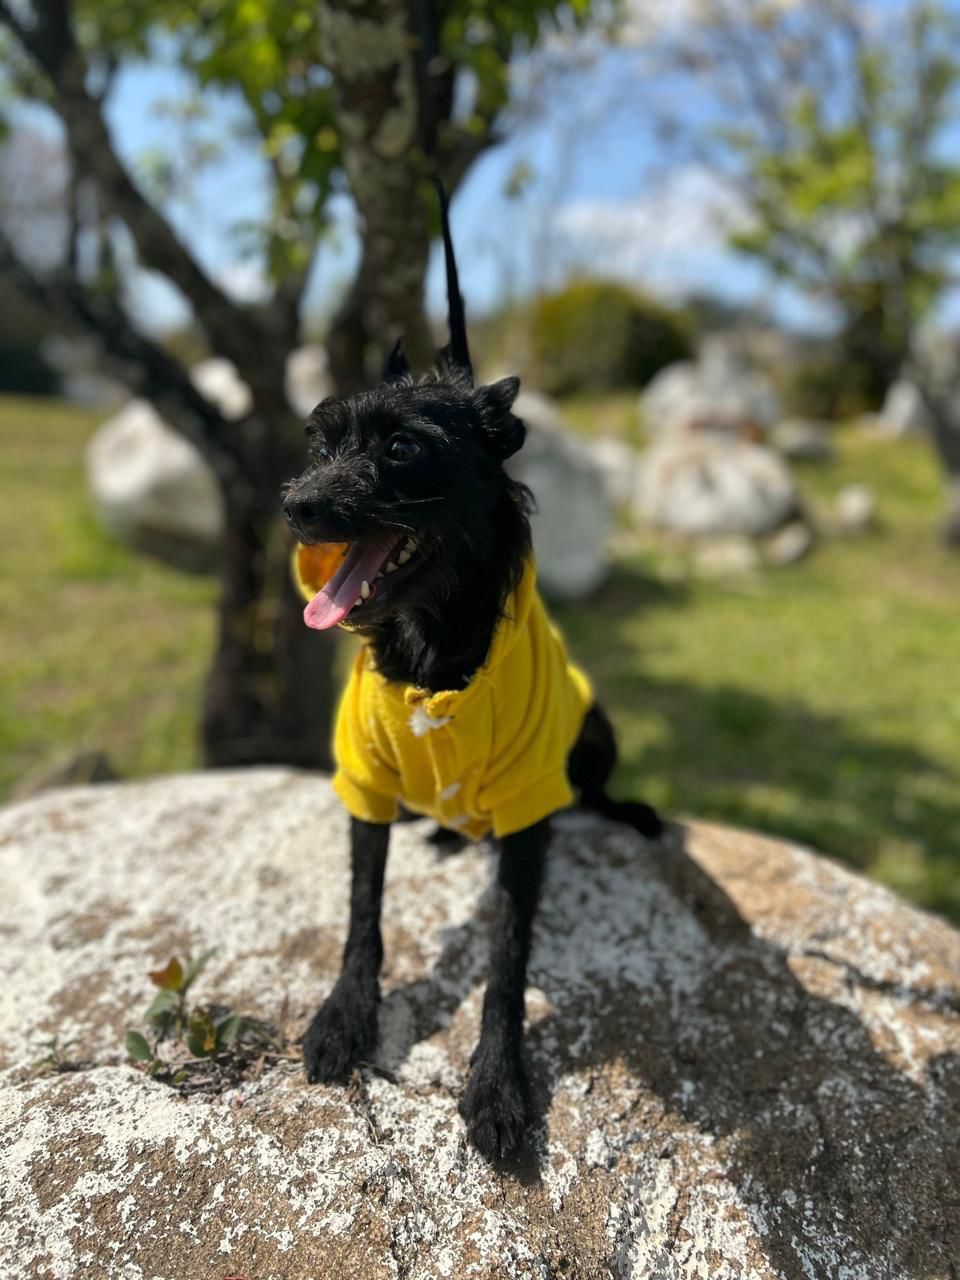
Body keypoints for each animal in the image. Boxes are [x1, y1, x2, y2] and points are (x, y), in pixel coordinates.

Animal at [281, 191, 662, 1161]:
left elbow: (507, 958)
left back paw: (627, 813)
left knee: (594, 790)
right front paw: (344, 1017)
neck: (429, 657)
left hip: (594, 730)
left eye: (403, 449)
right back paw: (448, 831)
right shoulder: (365, 779)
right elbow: (363, 914)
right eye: (320, 441)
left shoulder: (529, 808)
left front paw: (498, 1085)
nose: (294, 505)